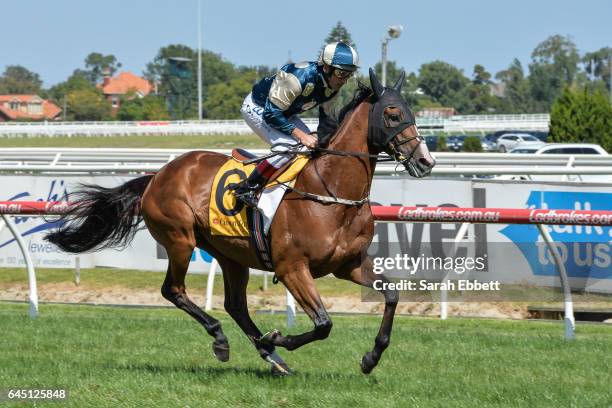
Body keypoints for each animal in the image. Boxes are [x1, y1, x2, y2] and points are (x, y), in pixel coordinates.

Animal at [46, 69, 436, 372]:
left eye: (411, 111)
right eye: (391, 113)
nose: (426, 160)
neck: (330, 192)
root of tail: (158, 176)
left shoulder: (348, 264)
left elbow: (392, 296)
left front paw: (371, 357)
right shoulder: (292, 267)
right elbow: (324, 323)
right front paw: (281, 336)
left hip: (230, 254)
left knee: (235, 304)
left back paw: (270, 354)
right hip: (180, 239)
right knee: (174, 290)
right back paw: (225, 340)